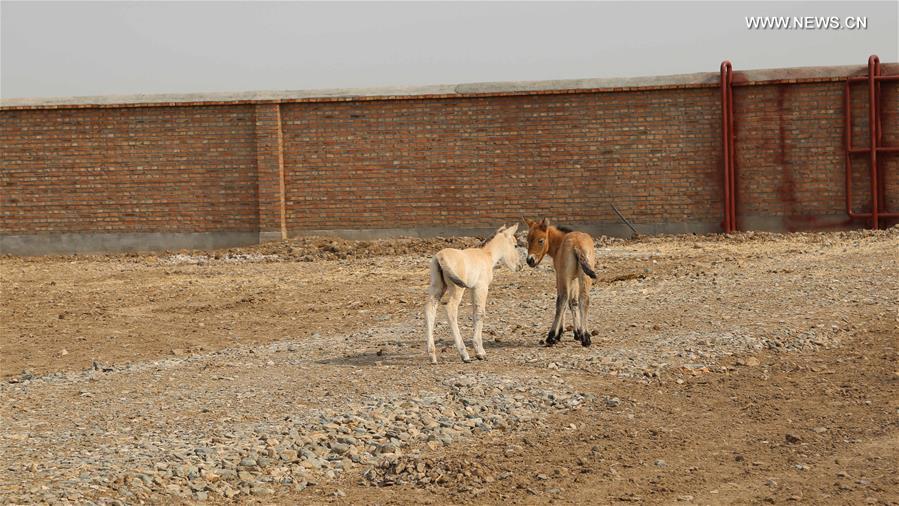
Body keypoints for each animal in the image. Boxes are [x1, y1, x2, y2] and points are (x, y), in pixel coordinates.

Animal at [424, 224, 521, 364]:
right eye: (515, 245)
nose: (519, 266)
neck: (486, 255)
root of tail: (440, 256)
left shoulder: (472, 289)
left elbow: (475, 313)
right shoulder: (481, 287)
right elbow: (480, 313)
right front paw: (480, 352)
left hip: (437, 287)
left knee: (429, 309)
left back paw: (432, 355)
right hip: (457, 288)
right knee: (450, 309)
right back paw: (464, 354)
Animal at [522, 218, 597, 347]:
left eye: (541, 240)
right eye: (527, 239)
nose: (530, 260)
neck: (559, 243)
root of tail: (577, 244)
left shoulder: (560, 275)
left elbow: (564, 301)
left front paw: (559, 333)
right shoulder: (574, 279)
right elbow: (573, 302)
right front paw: (578, 333)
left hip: (564, 276)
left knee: (562, 299)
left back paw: (551, 336)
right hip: (585, 277)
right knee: (584, 299)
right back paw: (586, 338)